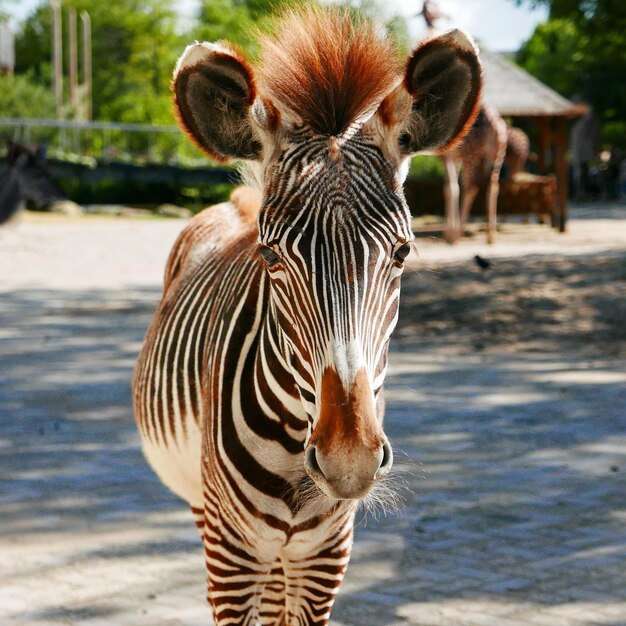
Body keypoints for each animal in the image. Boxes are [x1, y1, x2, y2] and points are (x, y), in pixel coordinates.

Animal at [132, 6, 480, 624]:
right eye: (270, 255)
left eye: (403, 253)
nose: (348, 462)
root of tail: (238, 201)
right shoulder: (232, 553)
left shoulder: (325, 555)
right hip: (207, 512)